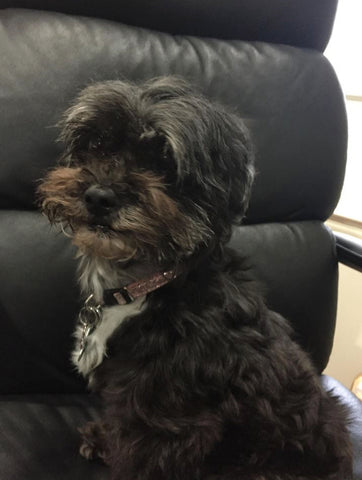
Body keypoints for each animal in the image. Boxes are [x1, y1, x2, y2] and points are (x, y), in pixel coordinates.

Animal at [38, 78, 352, 480]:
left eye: (164, 161)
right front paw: (103, 439)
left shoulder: (167, 421)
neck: (146, 288)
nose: (99, 196)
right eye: (96, 144)